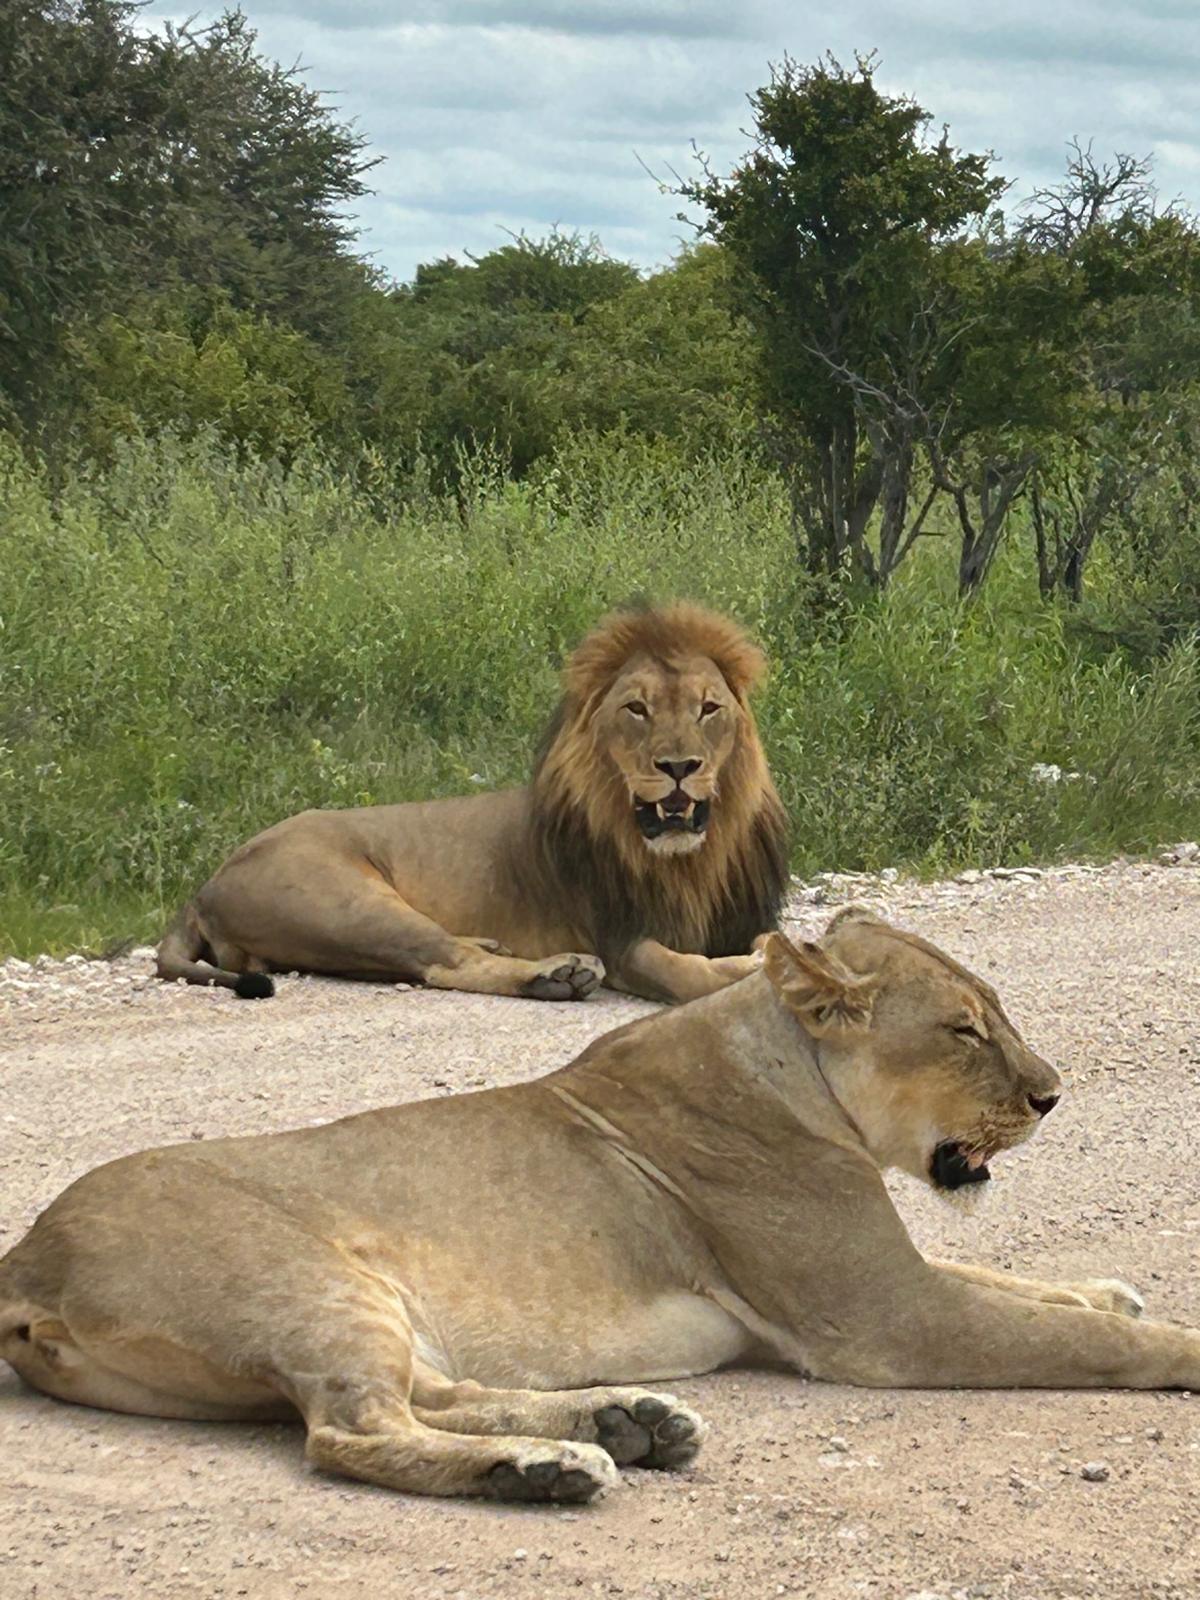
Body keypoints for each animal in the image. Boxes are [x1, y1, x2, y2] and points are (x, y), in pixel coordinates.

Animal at [4, 909, 1194, 1506]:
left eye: (997, 1011)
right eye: (962, 1030)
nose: (1052, 1095)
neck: (789, 1069)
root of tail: (27, 1255)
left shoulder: (890, 1279)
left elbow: (1023, 1284)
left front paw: (1110, 1288)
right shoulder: (880, 1319)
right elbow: (1067, 1337)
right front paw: (1173, 1343)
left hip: (375, 1315)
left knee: (430, 1394)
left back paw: (623, 1425)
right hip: (313, 1285)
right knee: (350, 1431)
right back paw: (555, 1469)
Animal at [155, 603, 789, 1005]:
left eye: (708, 708)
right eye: (637, 709)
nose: (680, 767)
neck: (690, 860)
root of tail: (204, 887)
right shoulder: (622, 939)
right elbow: (692, 976)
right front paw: (762, 964)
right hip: (347, 904)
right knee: (442, 963)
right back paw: (557, 975)